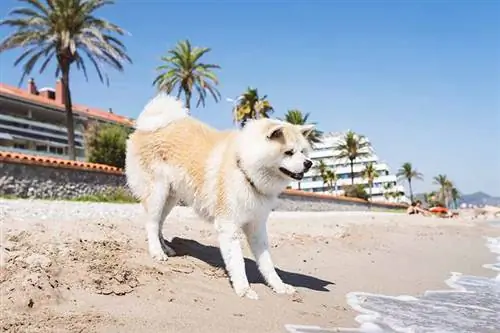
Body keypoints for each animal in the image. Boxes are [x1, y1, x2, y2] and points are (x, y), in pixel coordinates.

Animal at [124, 94, 312, 298]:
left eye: (303, 152)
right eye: (289, 152)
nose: (309, 163)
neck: (245, 170)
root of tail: (146, 126)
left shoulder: (257, 227)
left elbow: (267, 264)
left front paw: (279, 286)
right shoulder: (228, 226)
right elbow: (237, 262)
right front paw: (244, 289)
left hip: (170, 197)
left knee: (158, 223)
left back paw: (165, 248)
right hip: (158, 191)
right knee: (151, 223)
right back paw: (157, 252)